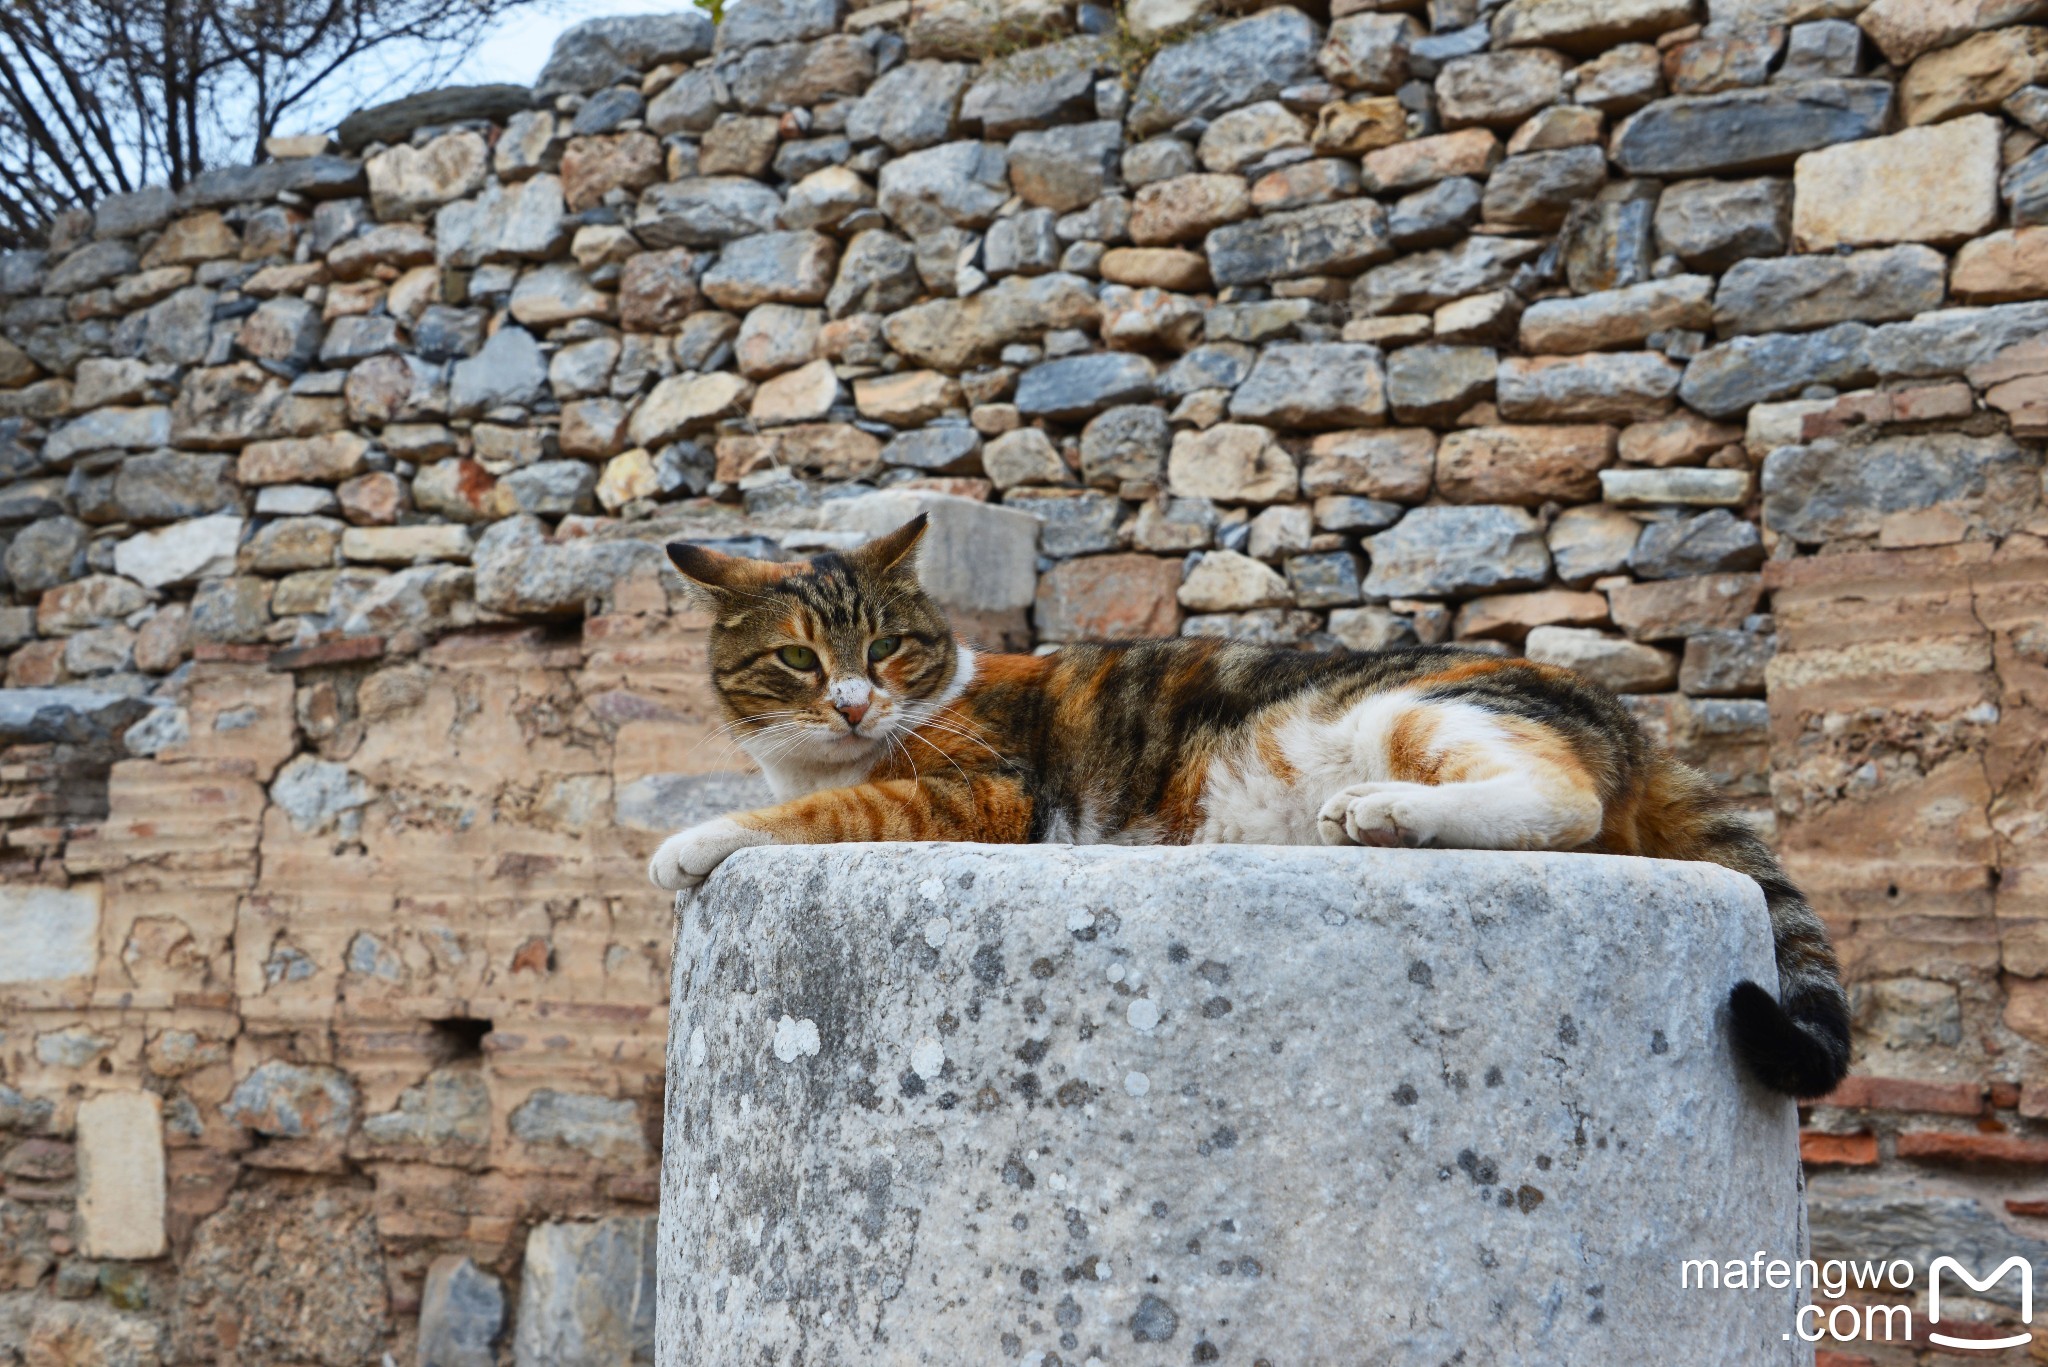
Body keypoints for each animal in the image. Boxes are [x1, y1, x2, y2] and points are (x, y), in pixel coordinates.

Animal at [648, 513, 1850, 1099]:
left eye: (891, 646)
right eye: (799, 660)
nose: (855, 702)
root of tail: (1623, 712)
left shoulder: (984, 788)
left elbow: (837, 813)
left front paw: (694, 841)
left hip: (1419, 712)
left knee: (1561, 805)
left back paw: (1383, 815)